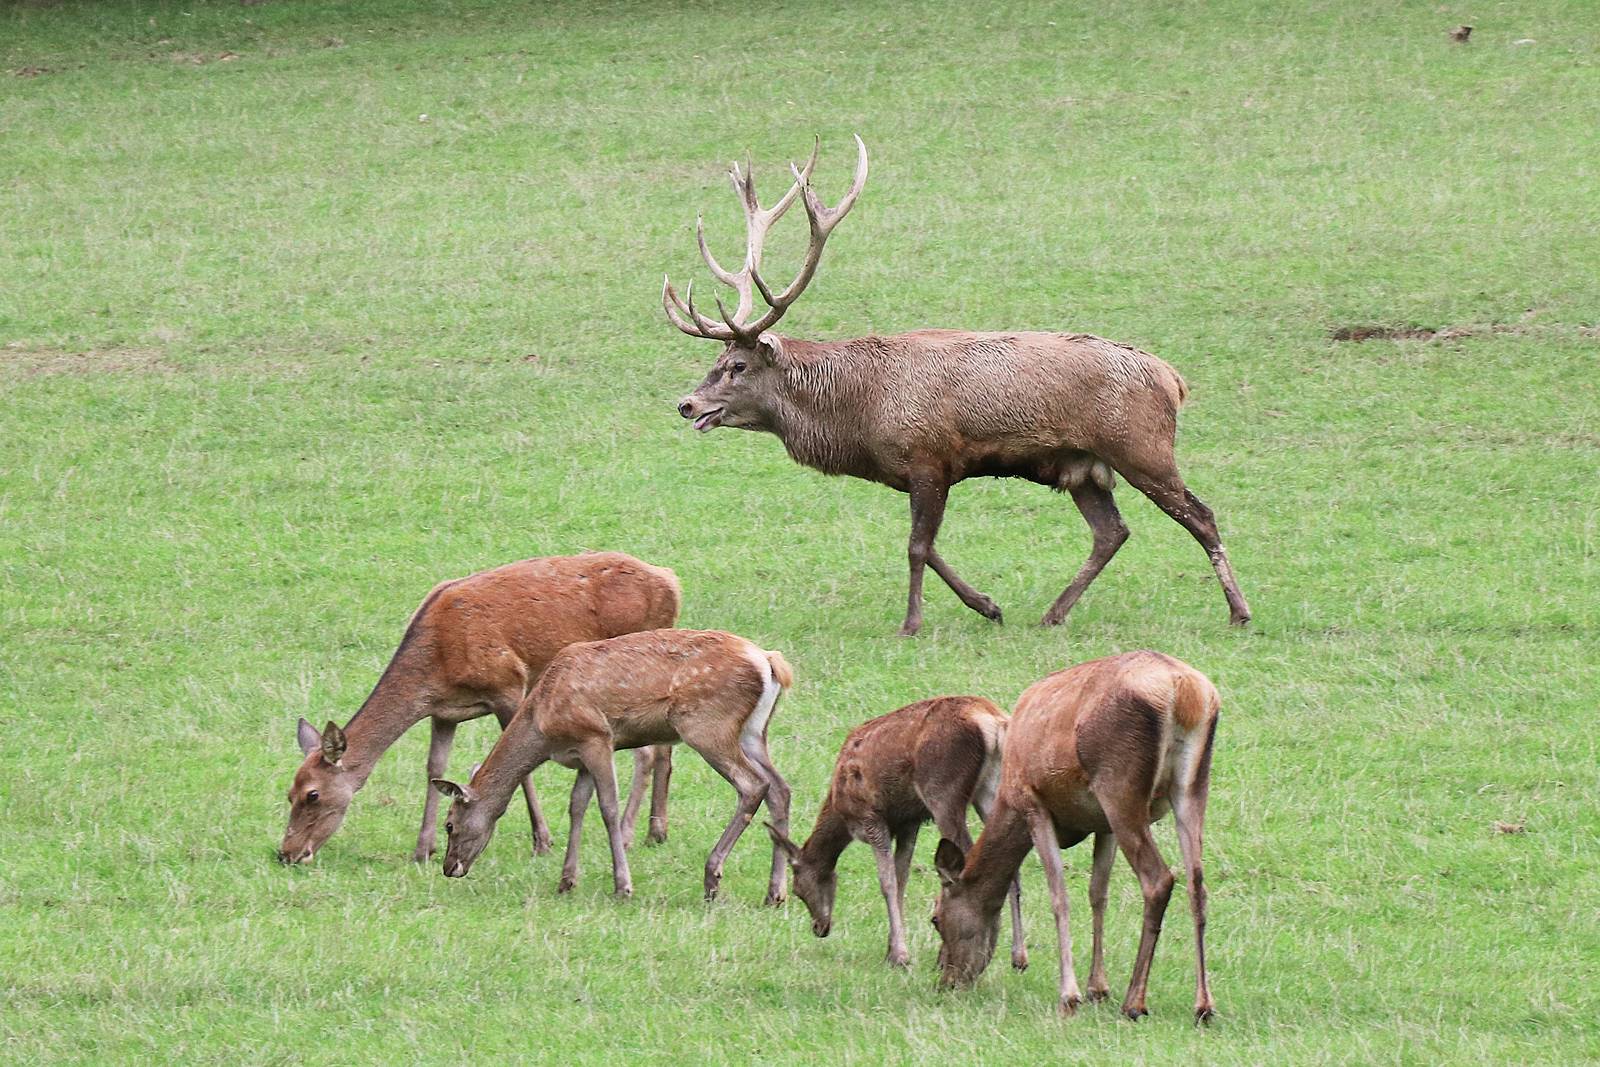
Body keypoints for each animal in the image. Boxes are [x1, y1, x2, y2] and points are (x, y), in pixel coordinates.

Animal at [277, 552, 680, 866]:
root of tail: (671, 581)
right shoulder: (443, 712)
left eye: (313, 794)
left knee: (647, 753)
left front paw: (543, 841)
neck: (437, 662)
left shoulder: (508, 685)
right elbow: (434, 767)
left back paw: (630, 832)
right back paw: (656, 830)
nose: (287, 853)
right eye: (288, 793)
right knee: (662, 749)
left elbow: (523, 770)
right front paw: (423, 849)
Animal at [433, 629, 794, 904]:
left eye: (449, 824)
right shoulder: (580, 756)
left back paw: (712, 878)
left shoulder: (597, 737)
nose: (449, 868)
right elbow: (577, 805)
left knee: (752, 785)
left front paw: (623, 886)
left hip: (707, 725)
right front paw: (566, 881)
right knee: (780, 789)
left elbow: (607, 807)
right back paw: (775, 893)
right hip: (753, 731)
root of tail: (769, 662)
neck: (543, 725)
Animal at [666, 137, 1251, 636]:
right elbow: (928, 545)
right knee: (1112, 532)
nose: (686, 403)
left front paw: (911, 623)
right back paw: (1052, 613)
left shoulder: (929, 455)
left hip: (1141, 447)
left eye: (737, 365)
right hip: (1083, 467)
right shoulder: (918, 471)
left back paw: (1239, 612)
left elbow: (916, 546)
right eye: (717, 361)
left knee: (1201, 516)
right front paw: (989, 605)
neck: (859, 417)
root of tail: (1173, 378)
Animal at [766, 695, 1027, 970]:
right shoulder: (909, 822)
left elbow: (888, 881)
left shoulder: (871, 817)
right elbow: (902, 879)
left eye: (798, 890)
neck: (840, 807)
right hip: (992, 790)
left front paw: (900, 955)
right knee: (1010, 866)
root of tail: (993, 721)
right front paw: (891, 950)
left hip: (943, 791)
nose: (819, 928)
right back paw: (1018, 957)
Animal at [931, 651, 1219, 1024]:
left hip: (1119, 786)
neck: (1007, 801)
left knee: (1159, 879)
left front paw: (1070, 996)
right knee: (1197, 883)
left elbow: (1059, 895)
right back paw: (1204, 1005)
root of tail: (1184, 690)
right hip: (1192, 785)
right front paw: (1098, 988)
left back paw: (1135, 1002)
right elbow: (1098, 894)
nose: (947, 980)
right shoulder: (1102, 824)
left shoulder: (1033, 804)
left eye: (936, 918)